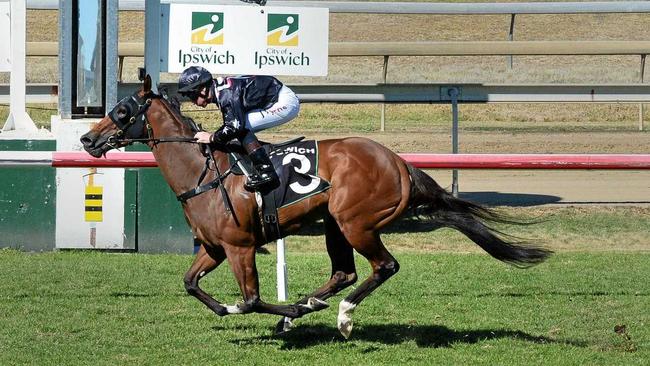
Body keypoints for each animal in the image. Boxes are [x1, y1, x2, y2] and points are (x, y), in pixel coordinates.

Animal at [78, 76, 548, 338]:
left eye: (123, 110)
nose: (86, 139)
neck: (202, 174)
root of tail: (399, 163)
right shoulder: (214, 248)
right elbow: (192, 285)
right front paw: (273, 311)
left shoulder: (240, 247)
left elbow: (251, 300)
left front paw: (282, 310)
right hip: (335, 224)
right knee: (344, 272)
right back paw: (311, 307)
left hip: (356, 222)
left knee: (384, 267)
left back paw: (340, 316)